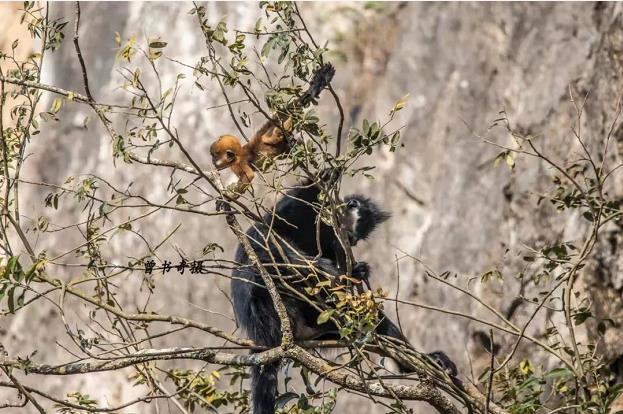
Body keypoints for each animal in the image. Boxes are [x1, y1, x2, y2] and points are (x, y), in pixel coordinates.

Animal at [232, 178, 456, 414]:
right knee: (267, 271)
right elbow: (263, 237)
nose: (353, 240)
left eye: (359, 237)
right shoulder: (300, 206)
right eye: (357, 229)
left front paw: (357, 271)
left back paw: (425, 362)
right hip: (273, 308)